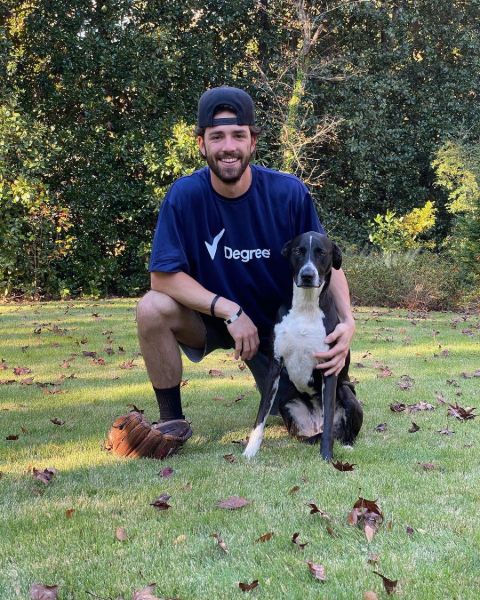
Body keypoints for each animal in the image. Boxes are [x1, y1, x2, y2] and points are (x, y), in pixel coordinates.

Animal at [244, 230, 364, 460]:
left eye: (322, 253)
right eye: (298, 251)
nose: (308, 275)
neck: (306, 308)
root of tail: (314, 428)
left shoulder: (330, 369)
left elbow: (329, 421)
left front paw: (327, 456)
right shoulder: (275, 366)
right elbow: (261, 415)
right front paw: (250, 450)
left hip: (348, 394)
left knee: (340, 431)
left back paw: (346, 444)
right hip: (286, 402)